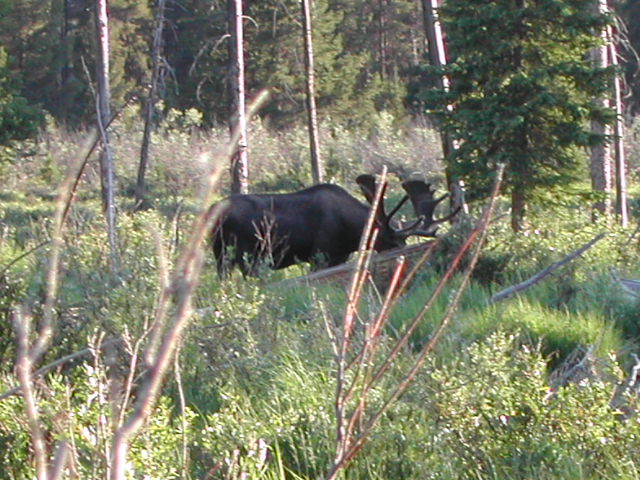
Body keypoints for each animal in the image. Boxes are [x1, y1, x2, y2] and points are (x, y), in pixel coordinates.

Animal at [210, 175, 460, 274]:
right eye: (390, 240)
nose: (404, 259)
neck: (352, 233)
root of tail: (213, 214)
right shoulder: (319, 256)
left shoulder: (339, 257)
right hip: (240, 254)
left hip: (223, 254)